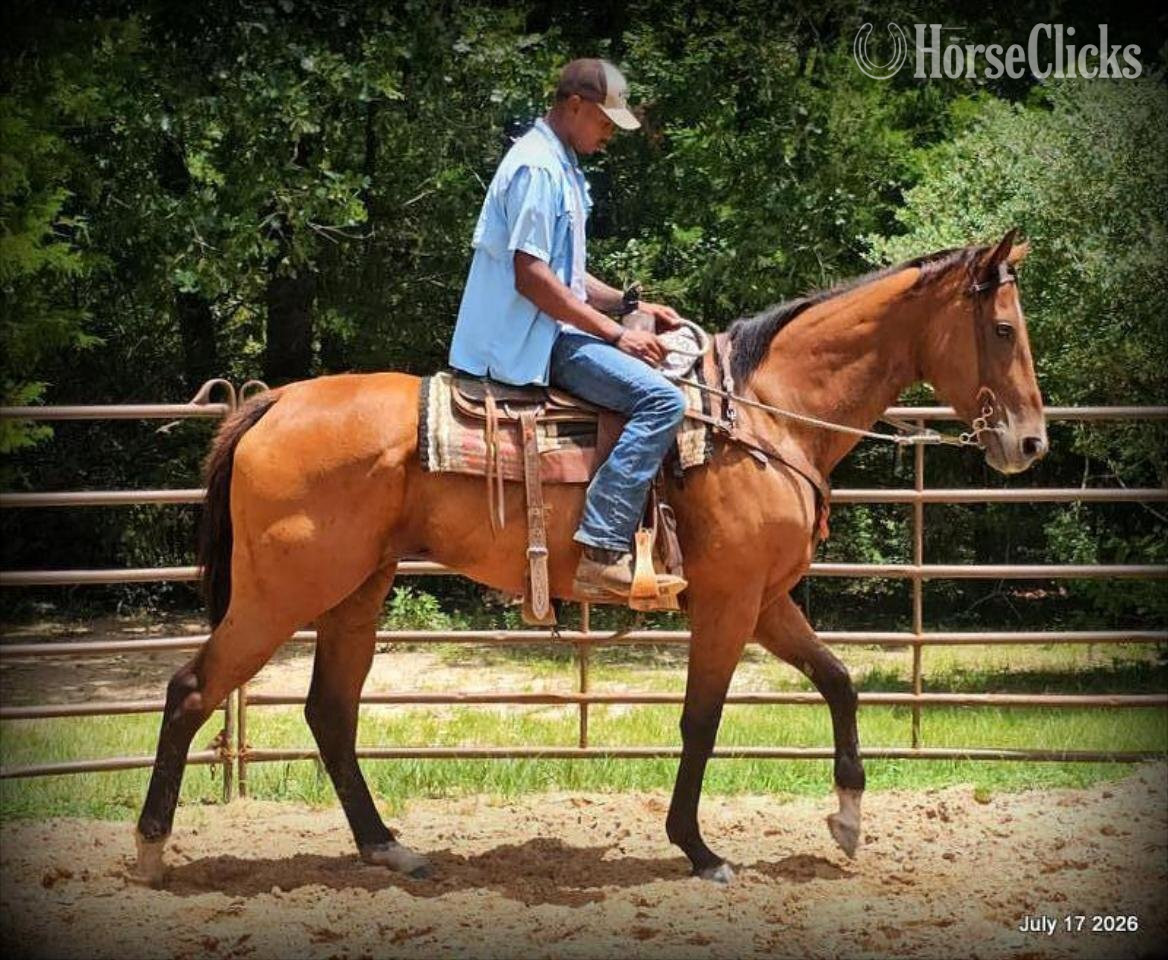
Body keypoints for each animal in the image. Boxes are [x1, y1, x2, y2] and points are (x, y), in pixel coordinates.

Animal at [134, 230, 1044, 886]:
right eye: (1003, 329)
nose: (1030, 442)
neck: (763, 416)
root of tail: (274, 402)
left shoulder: (763, 600)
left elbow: (839, 680)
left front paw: (849, 818)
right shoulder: (728, 603)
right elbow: (702, 720)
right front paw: (699, 850)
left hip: (357, 591)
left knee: (330, 711)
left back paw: (388, 848)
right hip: (281, 594)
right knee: (193, 691)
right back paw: (150, 850)